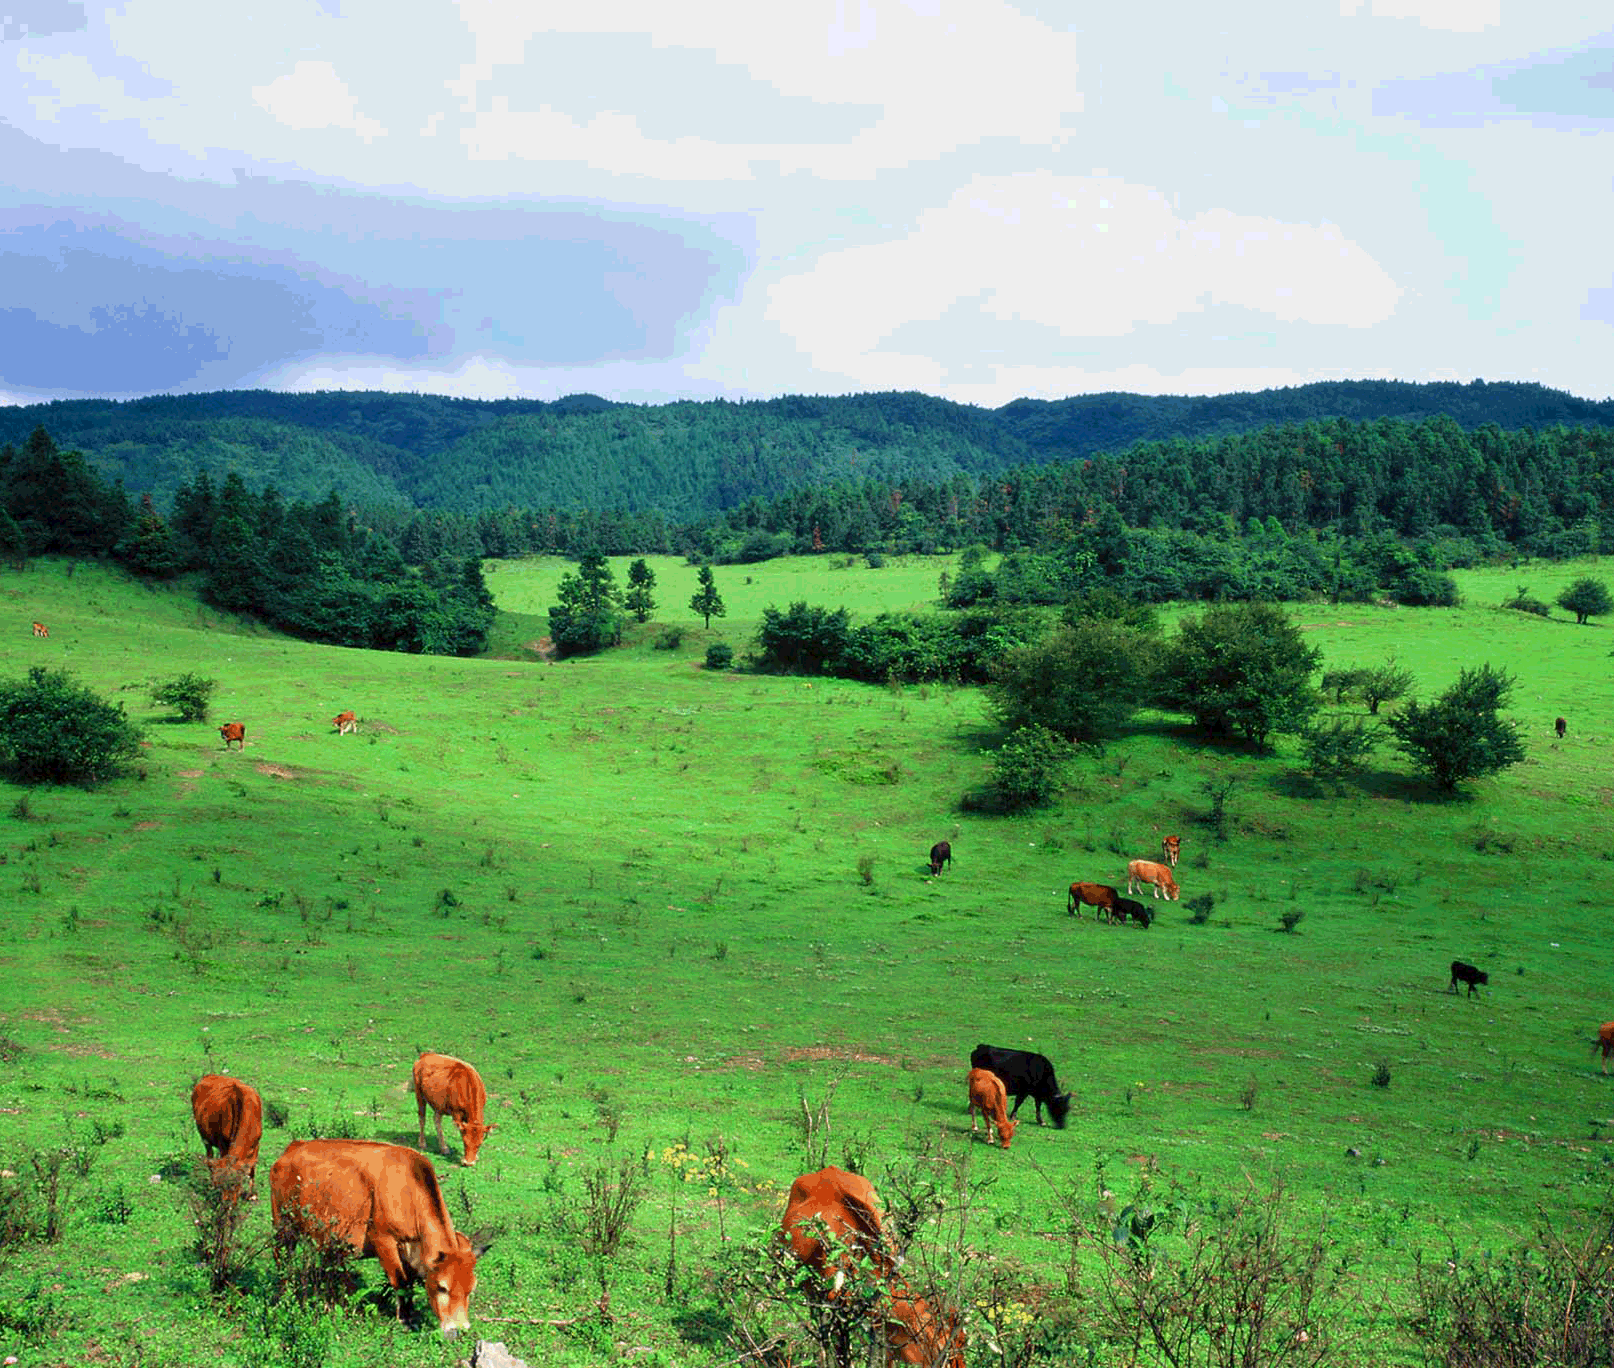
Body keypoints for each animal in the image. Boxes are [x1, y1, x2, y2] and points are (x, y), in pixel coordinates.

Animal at [271, 1135, 487, 1335]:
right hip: (283, 1226)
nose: (460, 1328)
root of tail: (294, 1146)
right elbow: (400, 1281)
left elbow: (408, 1282)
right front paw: (404, 1318)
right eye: (442, 1287)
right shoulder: (384, 1241)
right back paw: (284, 1292)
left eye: (471, 1288)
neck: (408, 1191)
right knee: (281, 1257)